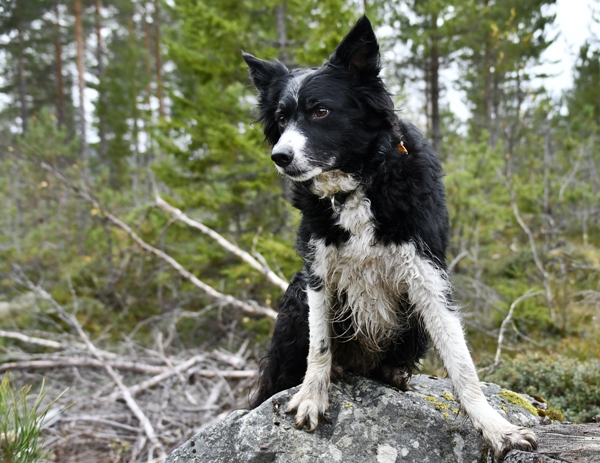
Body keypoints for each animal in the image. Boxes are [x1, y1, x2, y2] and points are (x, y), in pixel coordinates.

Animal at [241, 16, 536, 462]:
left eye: (320, 111)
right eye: (280, 119)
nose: (280, 156)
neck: (356, 185)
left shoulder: (427, 271)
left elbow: (462, 364)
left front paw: (497, 429)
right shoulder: (317, 270)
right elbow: (319, 345)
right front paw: (312, 396)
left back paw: (394, 373)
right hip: (294, 296)